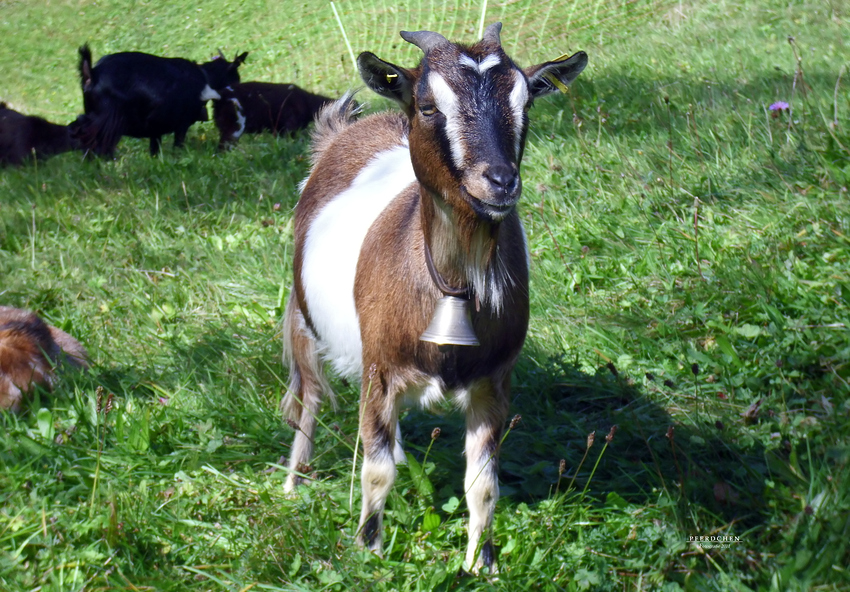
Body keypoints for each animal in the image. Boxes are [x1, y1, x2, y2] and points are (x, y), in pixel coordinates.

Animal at [75, 44, 248, 156]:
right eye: (236, 78)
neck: (204, 77)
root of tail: (91, 75)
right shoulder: (182, 124)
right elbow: (178, 146)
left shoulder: (155, 129)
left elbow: (155, 151)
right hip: (108, 124)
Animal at [282, 23, 588, 568]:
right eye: (428, 106)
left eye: (527, 101)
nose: (500, 182)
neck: (452, 285)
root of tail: (346, 130)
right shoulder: (379, 369)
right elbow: (376, 470)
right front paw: (369, 551)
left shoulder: (493, 383)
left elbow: (483, 485)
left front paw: (481, 563)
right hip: (301, 315)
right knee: (308, 398)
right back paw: (294, 483)